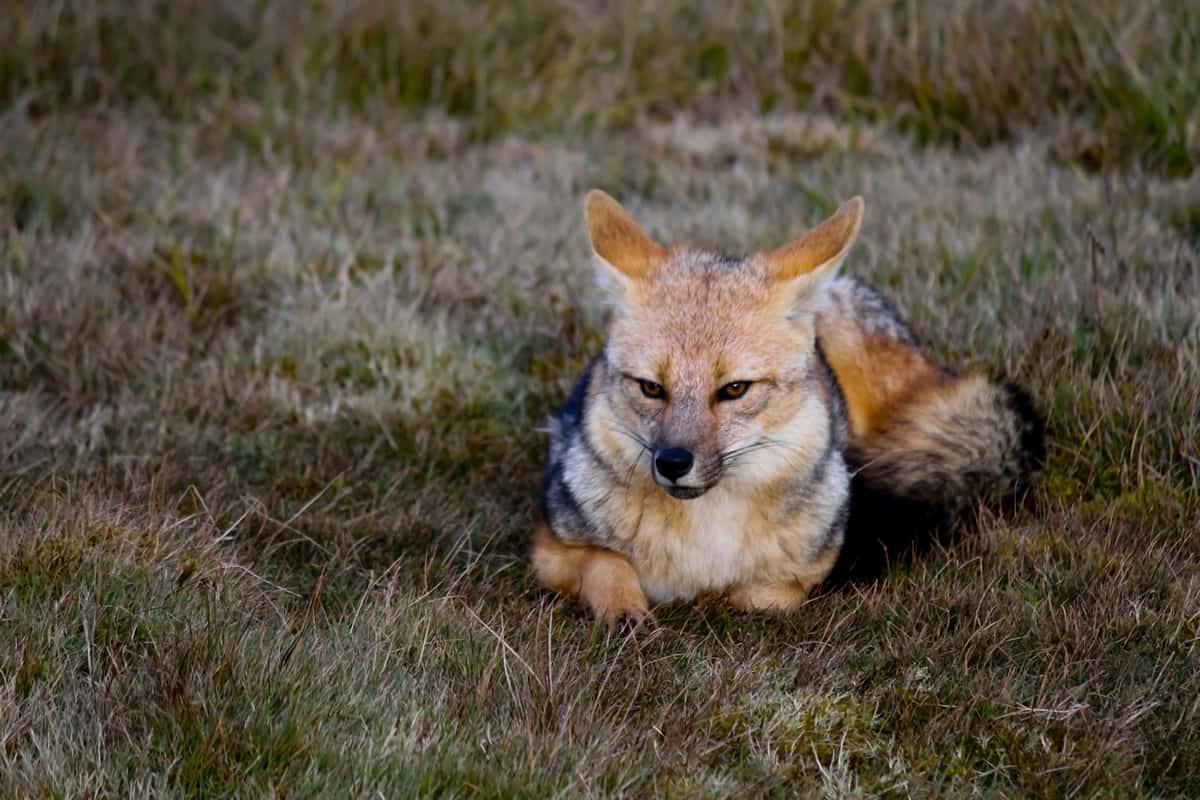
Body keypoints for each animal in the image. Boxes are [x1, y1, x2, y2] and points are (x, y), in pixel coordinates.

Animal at [530, 190, 1046, 628]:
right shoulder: (550, 546)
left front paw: (714, 601)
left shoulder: (805, 573)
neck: (706, 540)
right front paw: (626, 611)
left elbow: (758, 596)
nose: (673, 463)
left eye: (735, 389)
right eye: (651, 388)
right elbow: (607, 564)